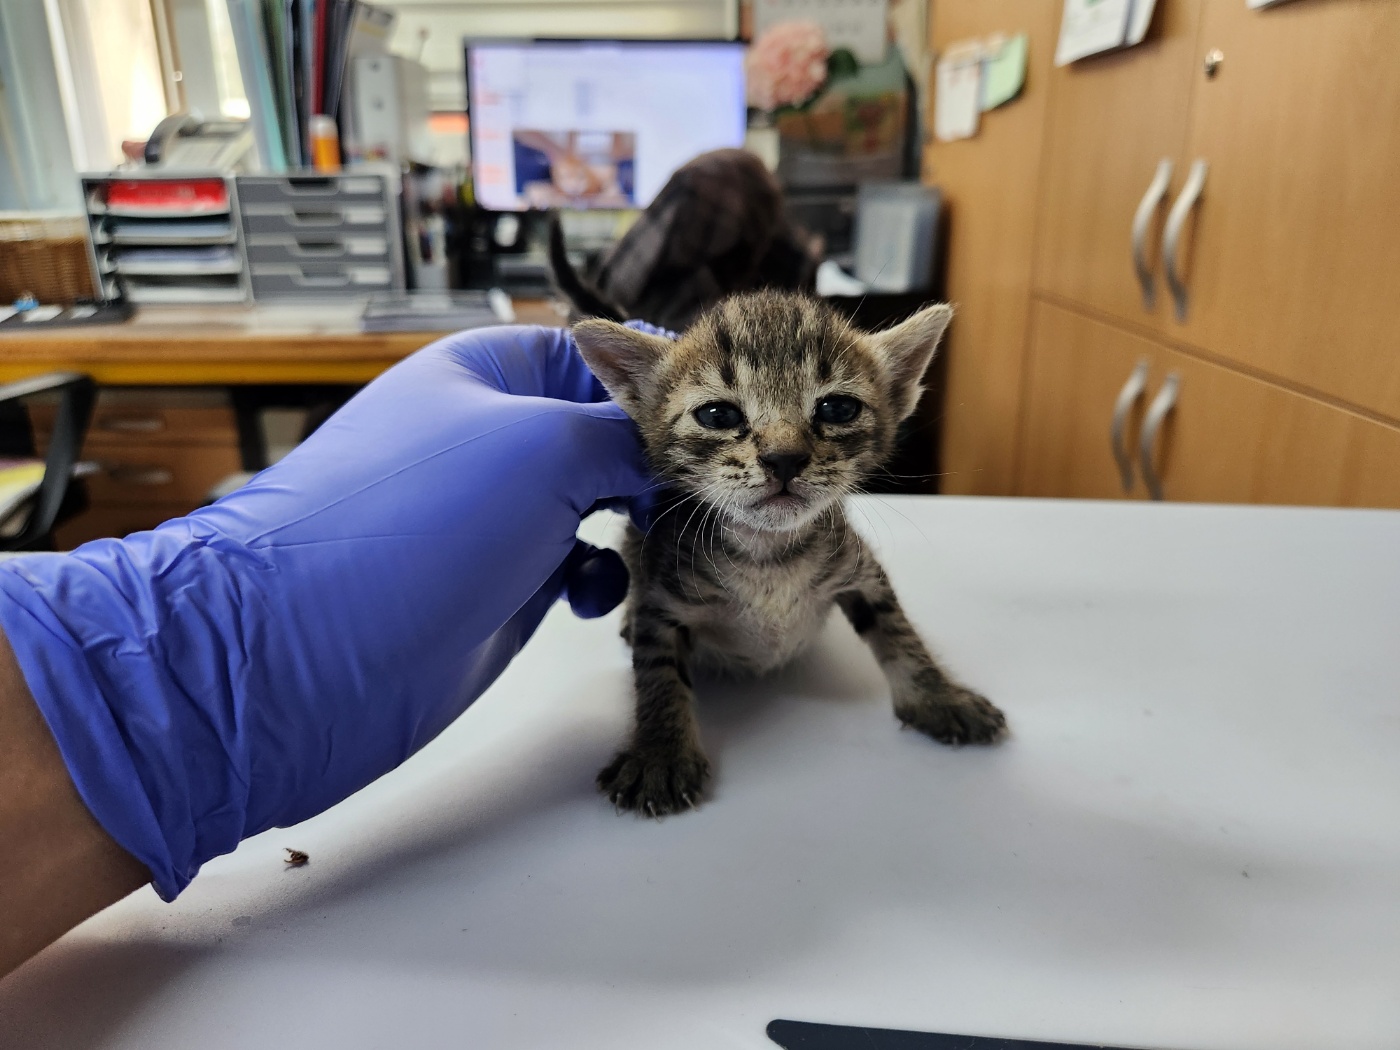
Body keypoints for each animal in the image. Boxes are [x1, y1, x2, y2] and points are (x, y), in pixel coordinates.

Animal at [571, 292, 1008, 817]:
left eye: (838, 408)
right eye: (718, 415)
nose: (784, 458)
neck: (768, 555)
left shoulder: (862, 570)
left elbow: (901, 634)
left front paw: (940, 698)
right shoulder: (663, 596)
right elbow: (657, 670)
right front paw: (660, 752)